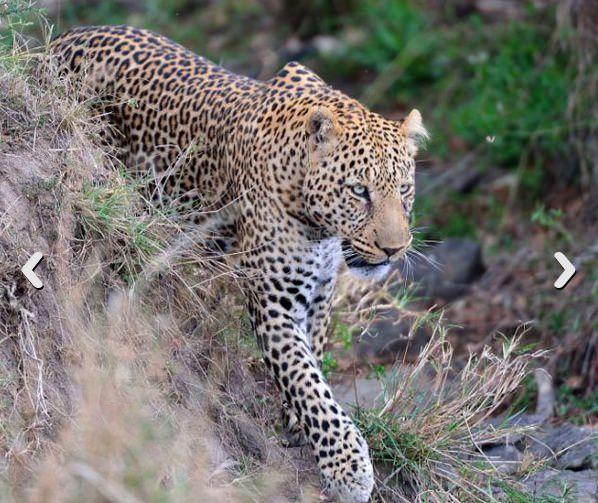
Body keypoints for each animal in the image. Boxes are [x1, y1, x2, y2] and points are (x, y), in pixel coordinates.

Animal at [50, 24, 426, 503]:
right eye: (359, 190)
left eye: (404, 190)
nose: (394, 248)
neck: (318, 223)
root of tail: (64, 37)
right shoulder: (273, 299)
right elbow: (304, 378)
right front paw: (347, 466)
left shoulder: (321, 290)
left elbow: (314, 356)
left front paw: (296, 419)